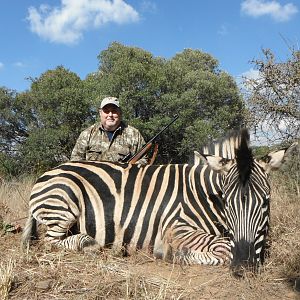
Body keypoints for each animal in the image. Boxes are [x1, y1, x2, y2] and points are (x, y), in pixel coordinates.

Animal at [21, 129, 298, 274]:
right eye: (226, 201)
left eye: (266, 202)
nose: (244, 266)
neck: (204, 196)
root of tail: (49, 172)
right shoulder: (175, 227)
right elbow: (222, 247)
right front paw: (172, 254)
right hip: (63, 204)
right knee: (50, 243)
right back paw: (90, 244)